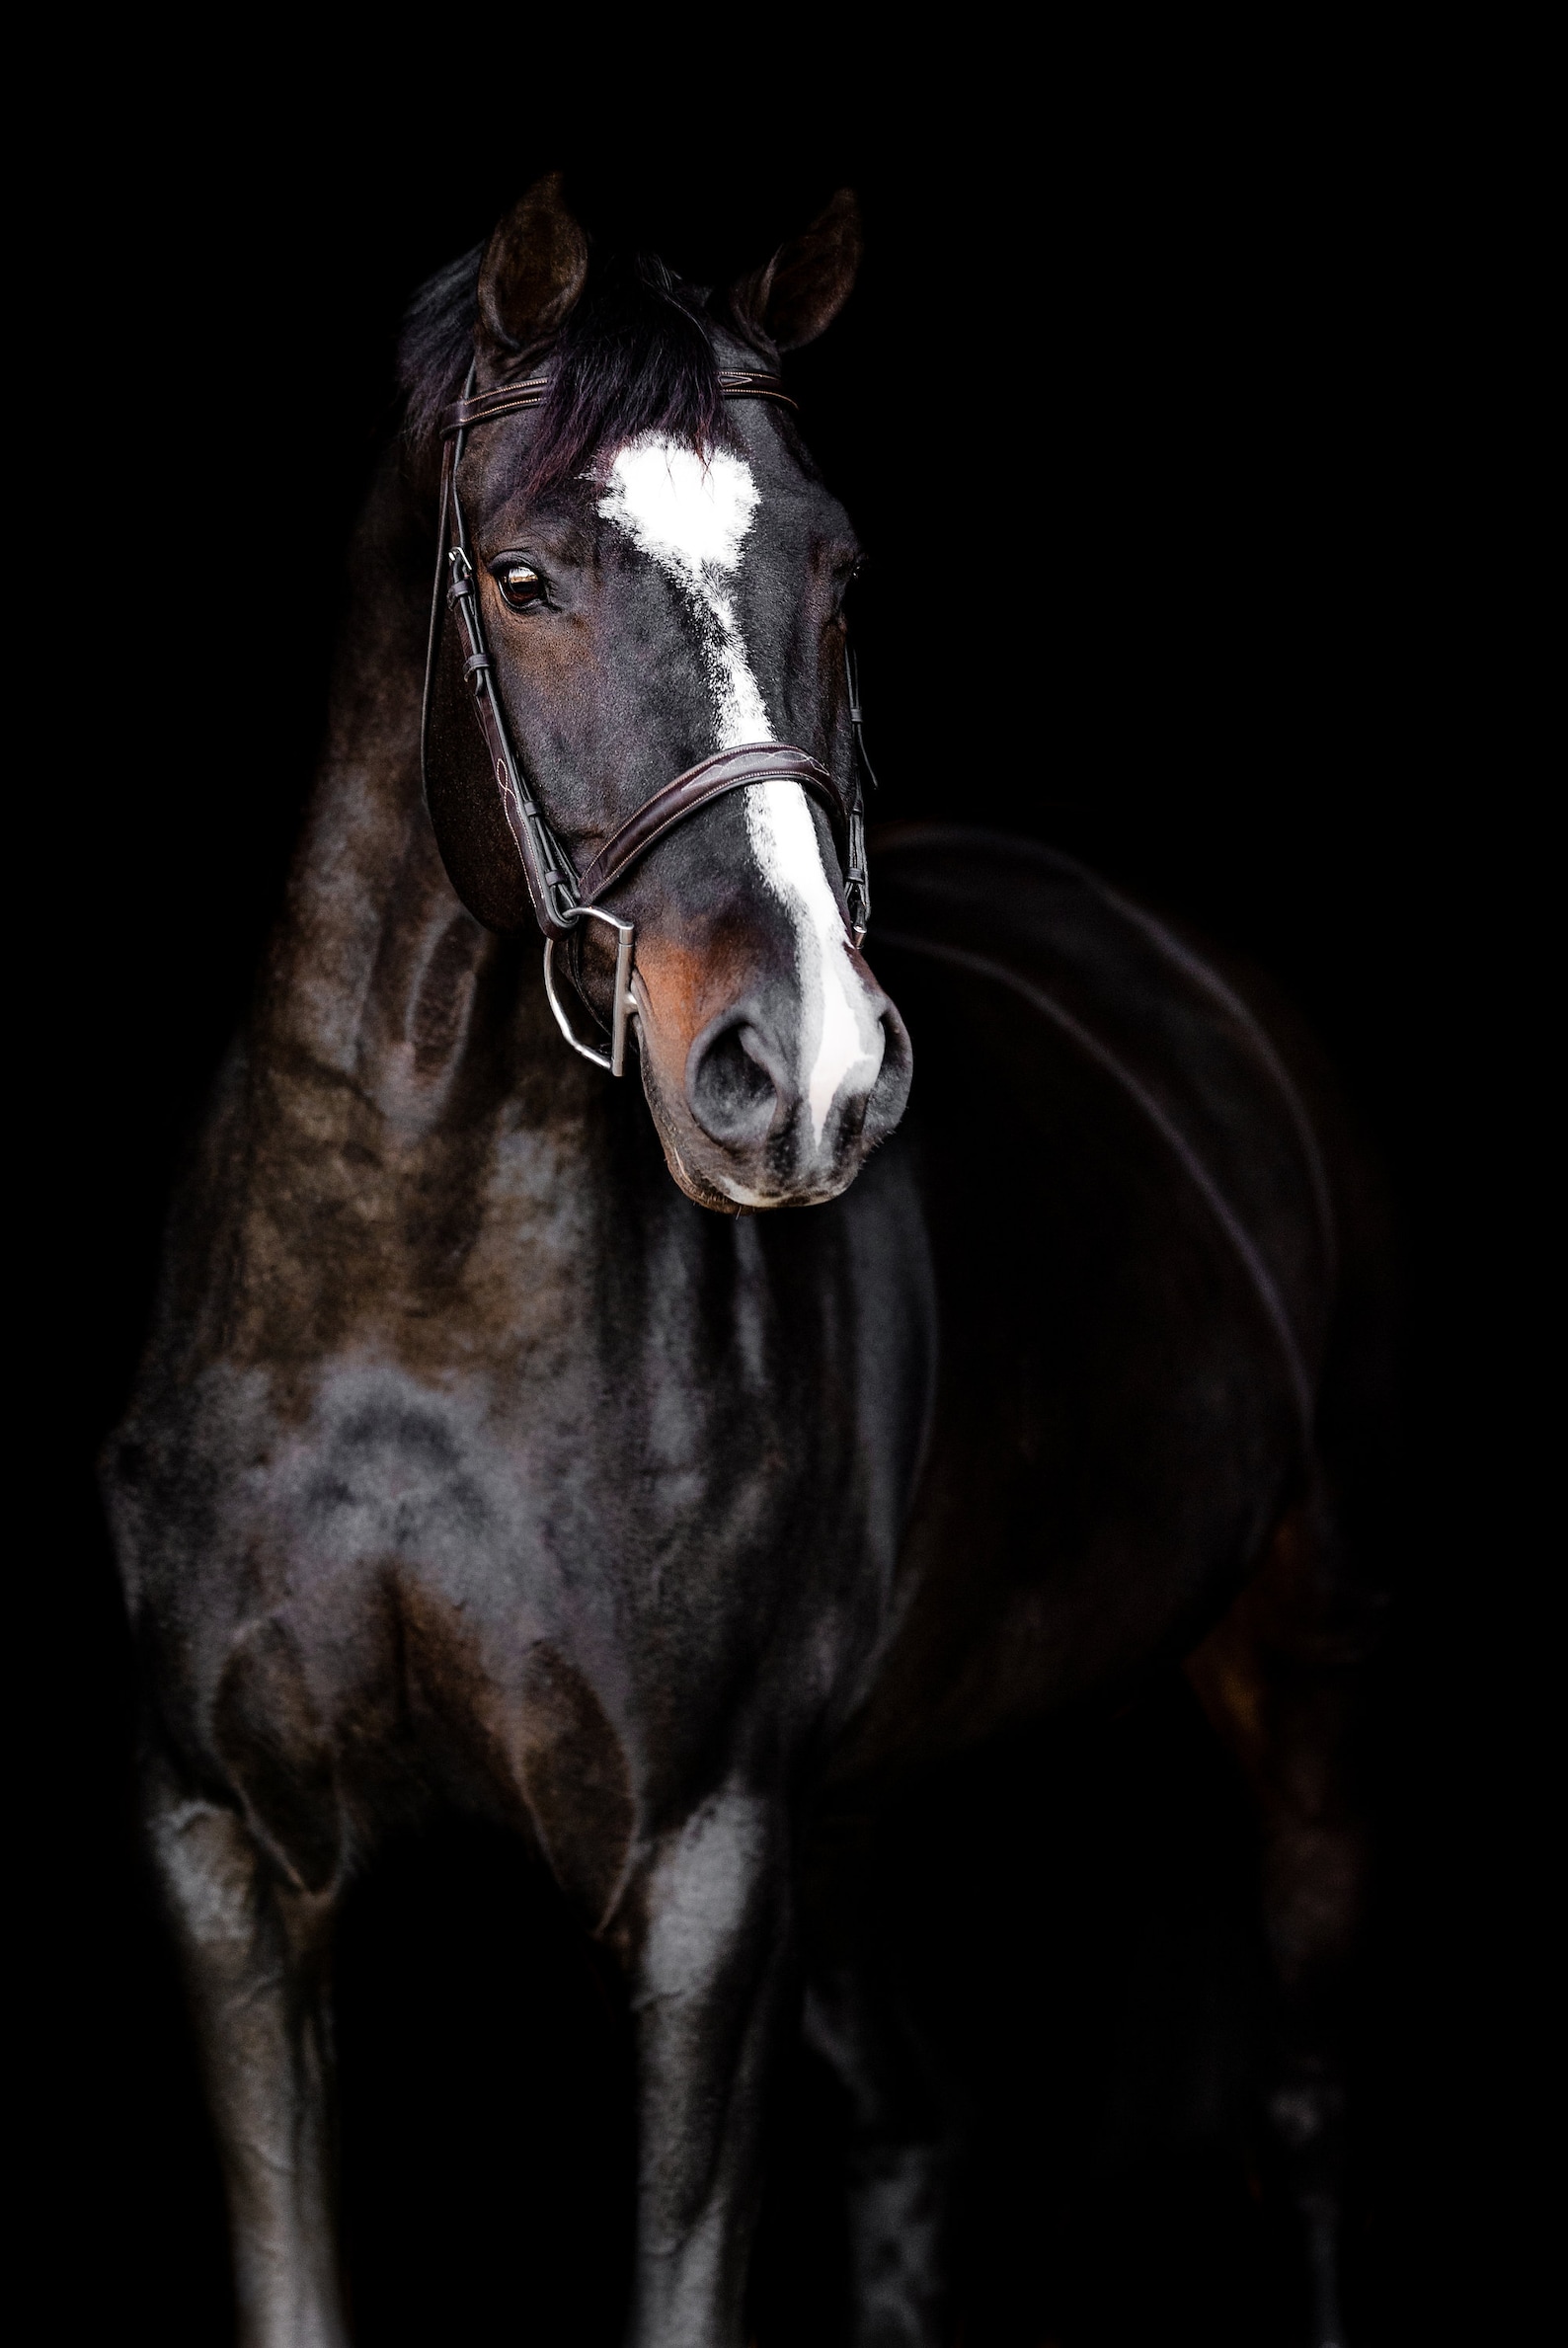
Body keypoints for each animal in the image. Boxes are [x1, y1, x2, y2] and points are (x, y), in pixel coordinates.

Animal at [103, 175, 1387, 2347]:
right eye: (523, 574)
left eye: (839, 569)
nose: (807, 1069)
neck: (405, 1307)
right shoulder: (230, 1854)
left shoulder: (702, 1872)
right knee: (923, 2121)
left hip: (1284, 1676)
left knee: (1301, 2120)